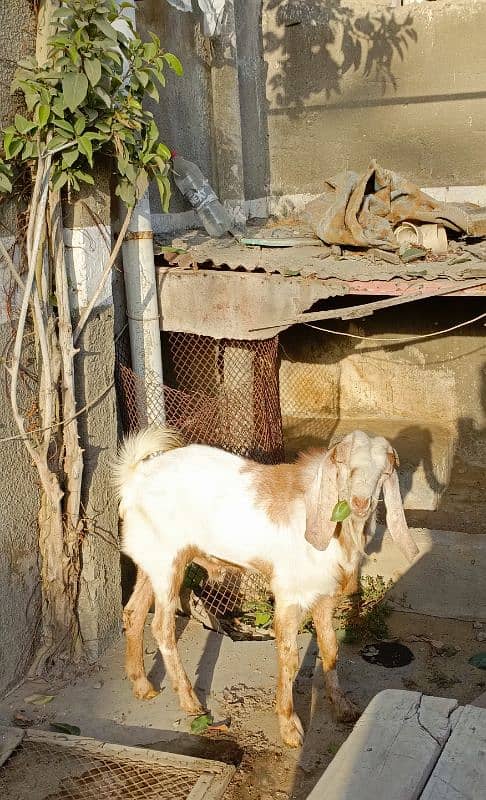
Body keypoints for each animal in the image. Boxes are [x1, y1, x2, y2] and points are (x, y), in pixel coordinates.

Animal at [115, 428, 418, 748]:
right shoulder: (289, 594)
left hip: (152, 562)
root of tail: (135, 477)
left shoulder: (324, 595)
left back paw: (142, 686)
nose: (360, 503)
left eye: (383, 473)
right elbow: (290, 656)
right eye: (345, 466)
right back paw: (190, 703)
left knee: (134, 613)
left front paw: (343, 707)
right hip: (169, 563)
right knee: (161, 627)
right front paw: (290, 728)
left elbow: (330, 648)